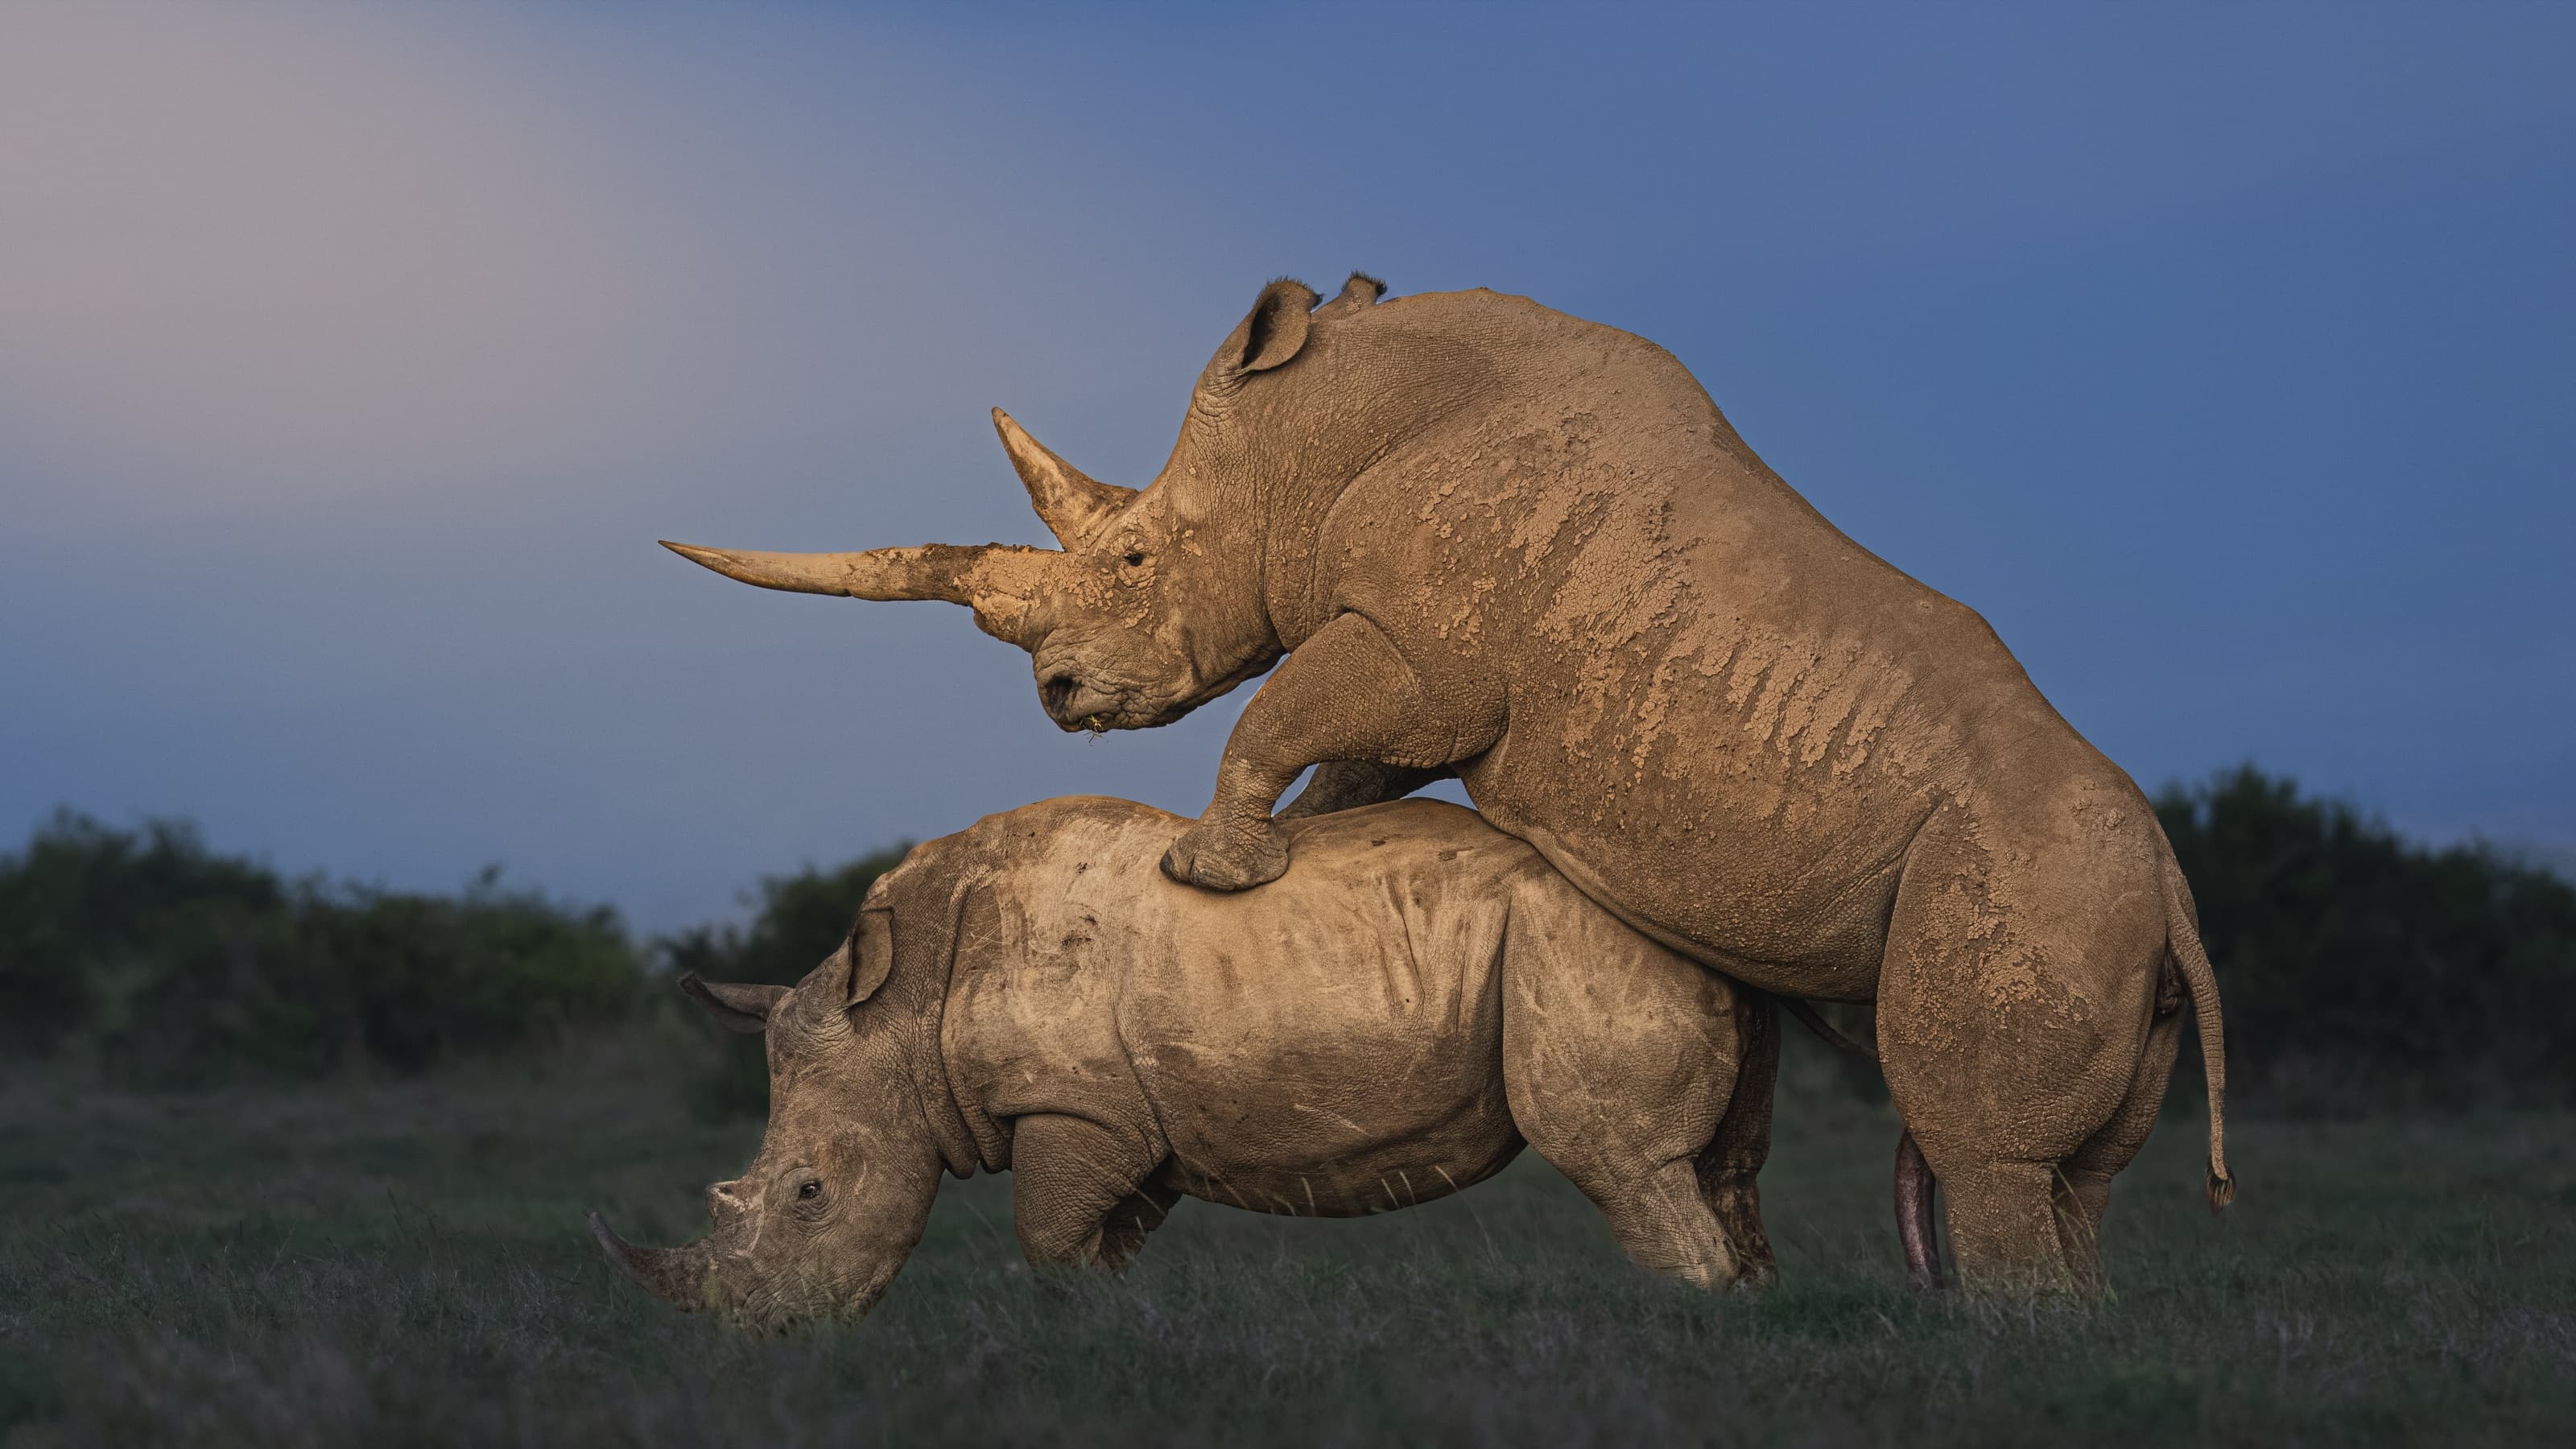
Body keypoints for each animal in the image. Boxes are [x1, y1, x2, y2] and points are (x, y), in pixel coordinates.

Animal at [589, 796, 1782, 1329]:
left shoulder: (1077, 1108)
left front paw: (1075, 1332)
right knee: (1721, 1172)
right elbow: (1101, 1243)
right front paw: (1120, 1333)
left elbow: (1048, 1238)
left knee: (1621, 1166)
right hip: (1650, 948)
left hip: (1580, 939)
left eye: (808, 1194)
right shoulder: (1137, 1125)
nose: (767, 1336)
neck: (900, 1010)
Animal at [662, 274, 2232, 1292]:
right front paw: (1297, 858)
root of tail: (2171, 885)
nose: (1061, 700)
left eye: (1137, 557)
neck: (1318, 428)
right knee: (2080, 1177)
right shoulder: (1413, 662)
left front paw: (1204, 874)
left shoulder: (1423, 648)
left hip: (2031, 876)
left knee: (1991, 1161)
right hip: (2101, 907)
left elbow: (1283, 709)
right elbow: (1338, 751)